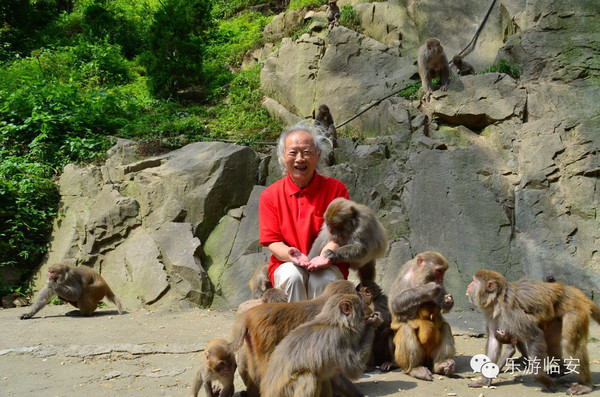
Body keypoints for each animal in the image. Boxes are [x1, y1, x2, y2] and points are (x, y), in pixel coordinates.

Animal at [466, 270, 600, 392]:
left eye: (474, 281)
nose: (468, 285)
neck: (497, 299)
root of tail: (574, 291)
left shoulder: (512, 314)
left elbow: (534, 336)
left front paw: (540, 377)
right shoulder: (493, 316)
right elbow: (494, 341)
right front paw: (485, 379)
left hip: (575, 309)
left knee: (569, 345)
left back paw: (586, 384)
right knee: (551, 344)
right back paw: (564, 369)